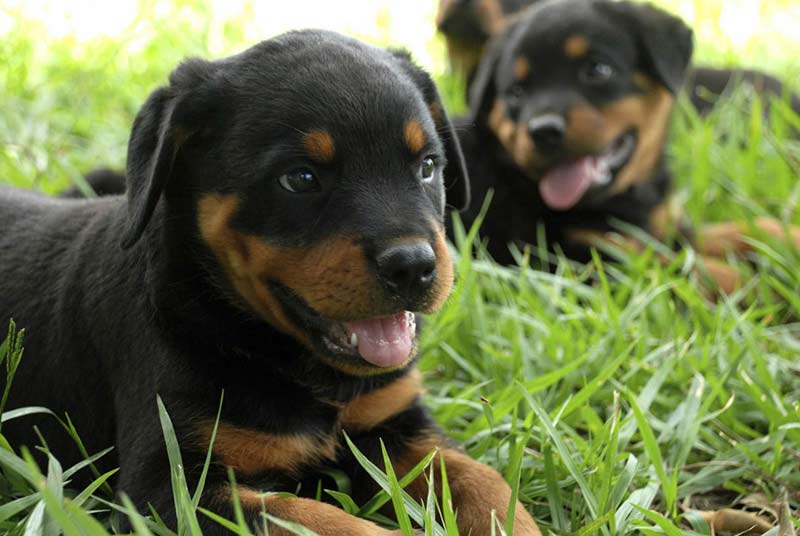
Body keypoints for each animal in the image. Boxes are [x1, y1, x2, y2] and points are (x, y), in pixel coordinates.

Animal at [0, 31, 540, 532]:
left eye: (428, 166)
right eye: (300, 179)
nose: (413, 265)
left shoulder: (398, 424)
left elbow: (482, 481)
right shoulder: (170, 487)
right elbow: (317, 520)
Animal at [446, 0, 796, 288]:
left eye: (597, 69)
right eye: (516, 92)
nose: (543, 130)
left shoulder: (659, 227)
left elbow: (735, 230)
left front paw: (788, 238)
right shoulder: (587, 260)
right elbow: (692, 271)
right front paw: (765, 288)